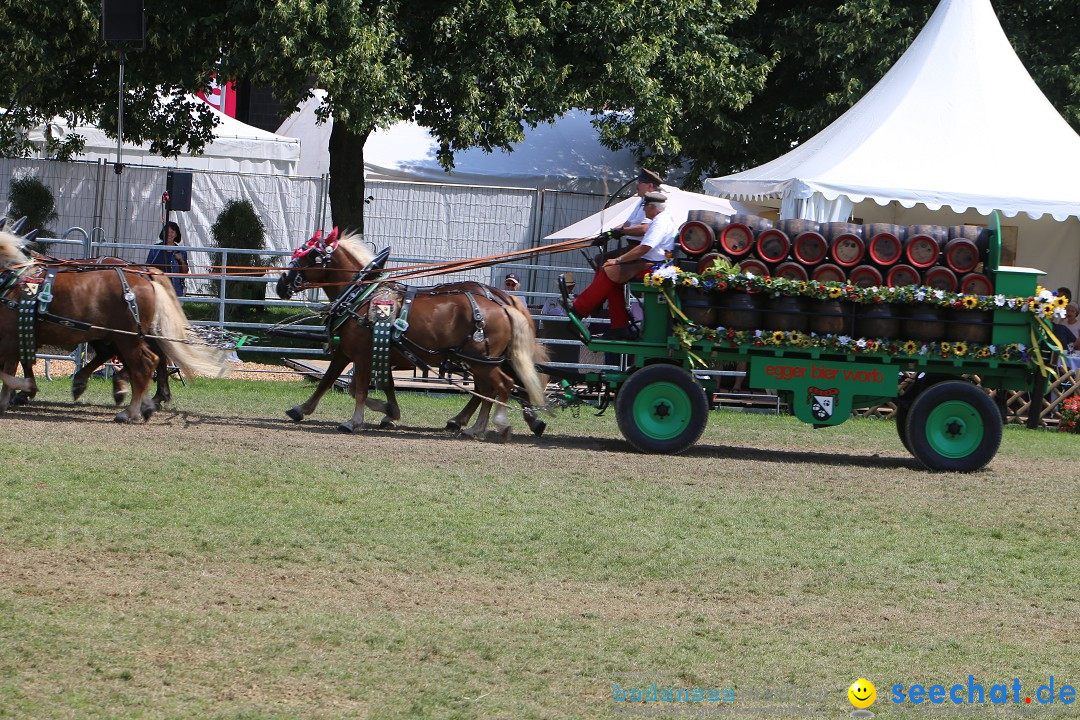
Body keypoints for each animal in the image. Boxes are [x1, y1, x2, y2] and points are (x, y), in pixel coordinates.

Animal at [0, 231, 227, 423]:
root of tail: (144, 275)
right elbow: (17, 365)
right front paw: (21, 392)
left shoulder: (11, 338)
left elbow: (8, 370)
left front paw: (16, 394)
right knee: (148, 358)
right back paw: (143, 400)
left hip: (127, 336)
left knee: (144, 362)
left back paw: (131, 409)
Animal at [274, 229, 548, 440]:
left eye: (310, 255)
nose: (281, 283)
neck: (361, 297)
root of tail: (502, 305)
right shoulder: (351, 352)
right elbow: (333, 381)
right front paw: (302, 409)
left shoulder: (362, 355)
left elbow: (358, 389)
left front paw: (355, 421)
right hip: (480, 362)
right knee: (489, 389)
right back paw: (478, 425)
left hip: (480, 361)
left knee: (499, 386)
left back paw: (493, 424)